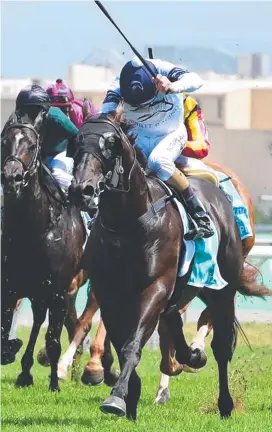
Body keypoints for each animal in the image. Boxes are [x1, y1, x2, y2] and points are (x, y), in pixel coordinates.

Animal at [0, 112, 85, 392]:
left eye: (31, 145)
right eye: (5, 142)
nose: (12, 177)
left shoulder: (58, 289)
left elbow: (53, 339)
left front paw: (54, 384)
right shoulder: (10, 285)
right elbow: (4, 331)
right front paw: (13, 351)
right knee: (41, 319)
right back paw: (27, 371)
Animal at [68, 114, 272, 418]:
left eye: (110, 145)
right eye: (77, 142)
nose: (81, 190)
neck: (127, 223)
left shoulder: (155, 287)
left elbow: (132, 344)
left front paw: (116, 398)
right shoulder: (109, 294)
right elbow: (121, 340)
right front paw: (129, 395)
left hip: (221, 289)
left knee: (221, 345)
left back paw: (224, 403)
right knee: (174, 322)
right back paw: (191, 357)